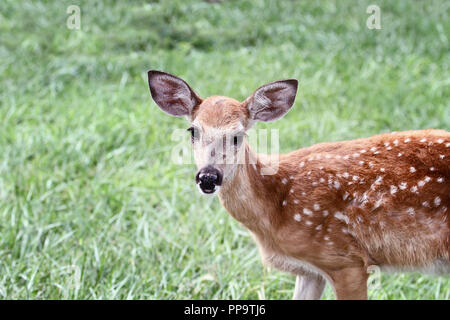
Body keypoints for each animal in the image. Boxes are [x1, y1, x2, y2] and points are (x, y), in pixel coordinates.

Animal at [147, 70, 446, 300]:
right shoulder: (311, 271)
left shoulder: (346, 260)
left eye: (237, 136)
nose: (208, 177)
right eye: (193, 131)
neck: (277, 207)